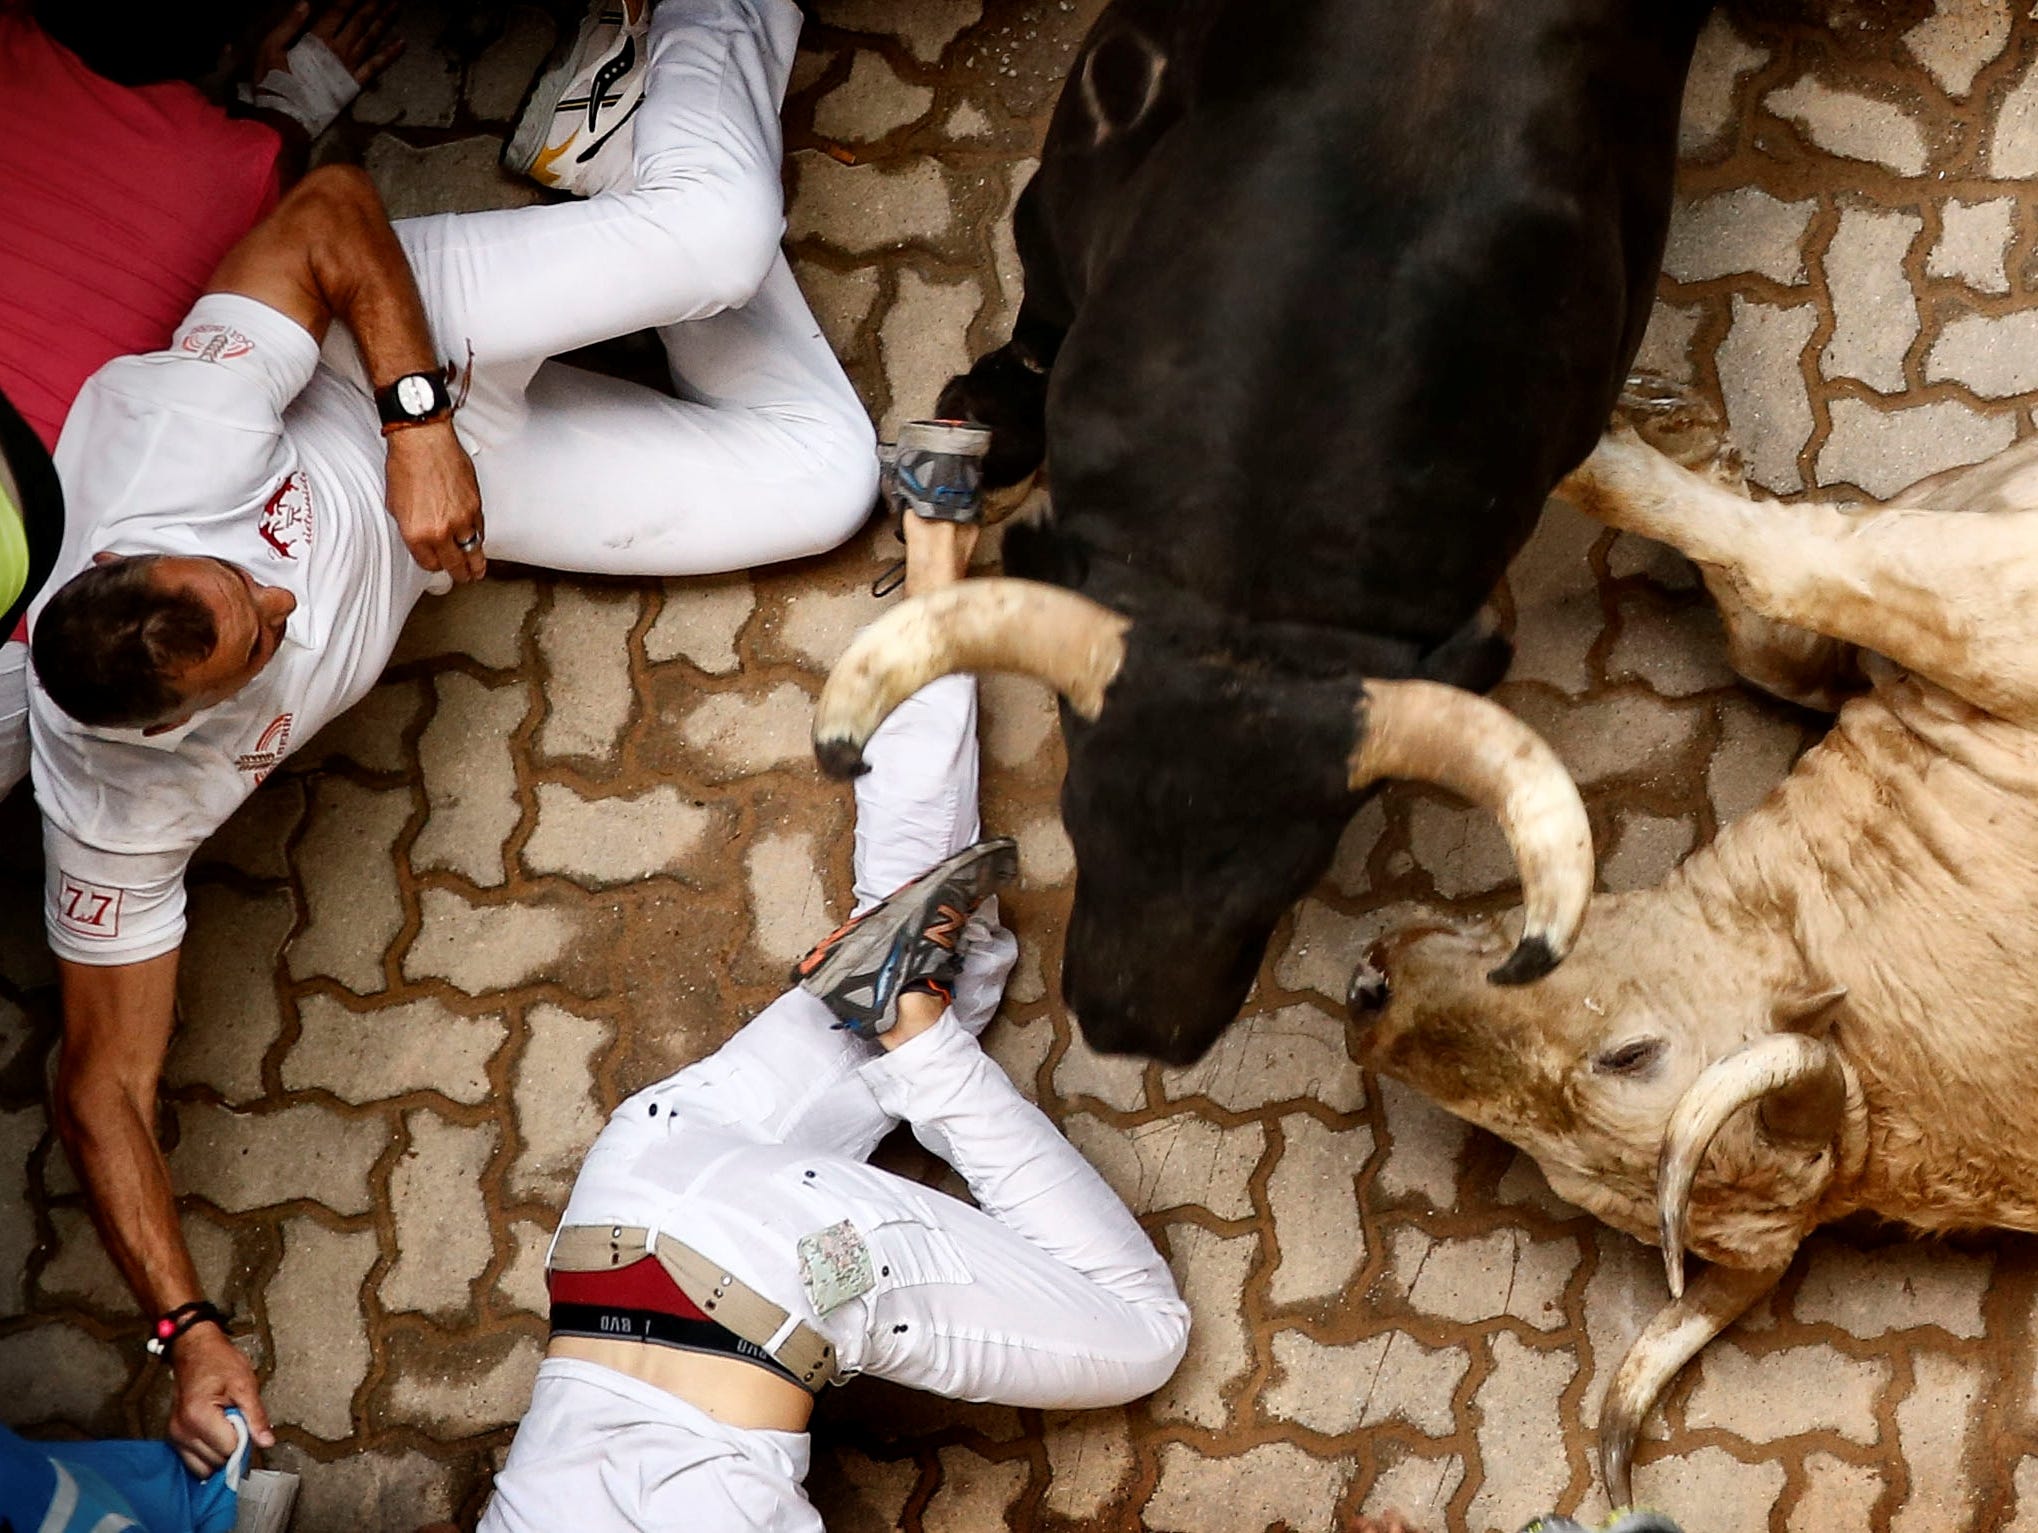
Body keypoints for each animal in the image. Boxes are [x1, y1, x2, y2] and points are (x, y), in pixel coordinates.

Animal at [1353, 415, 2038, 1508]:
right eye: (1557, 1173)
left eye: (1628, 1057)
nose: (1368, 993)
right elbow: (1771, 629)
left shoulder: (1967, 598)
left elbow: (1782, 564)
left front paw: (1602, 447)